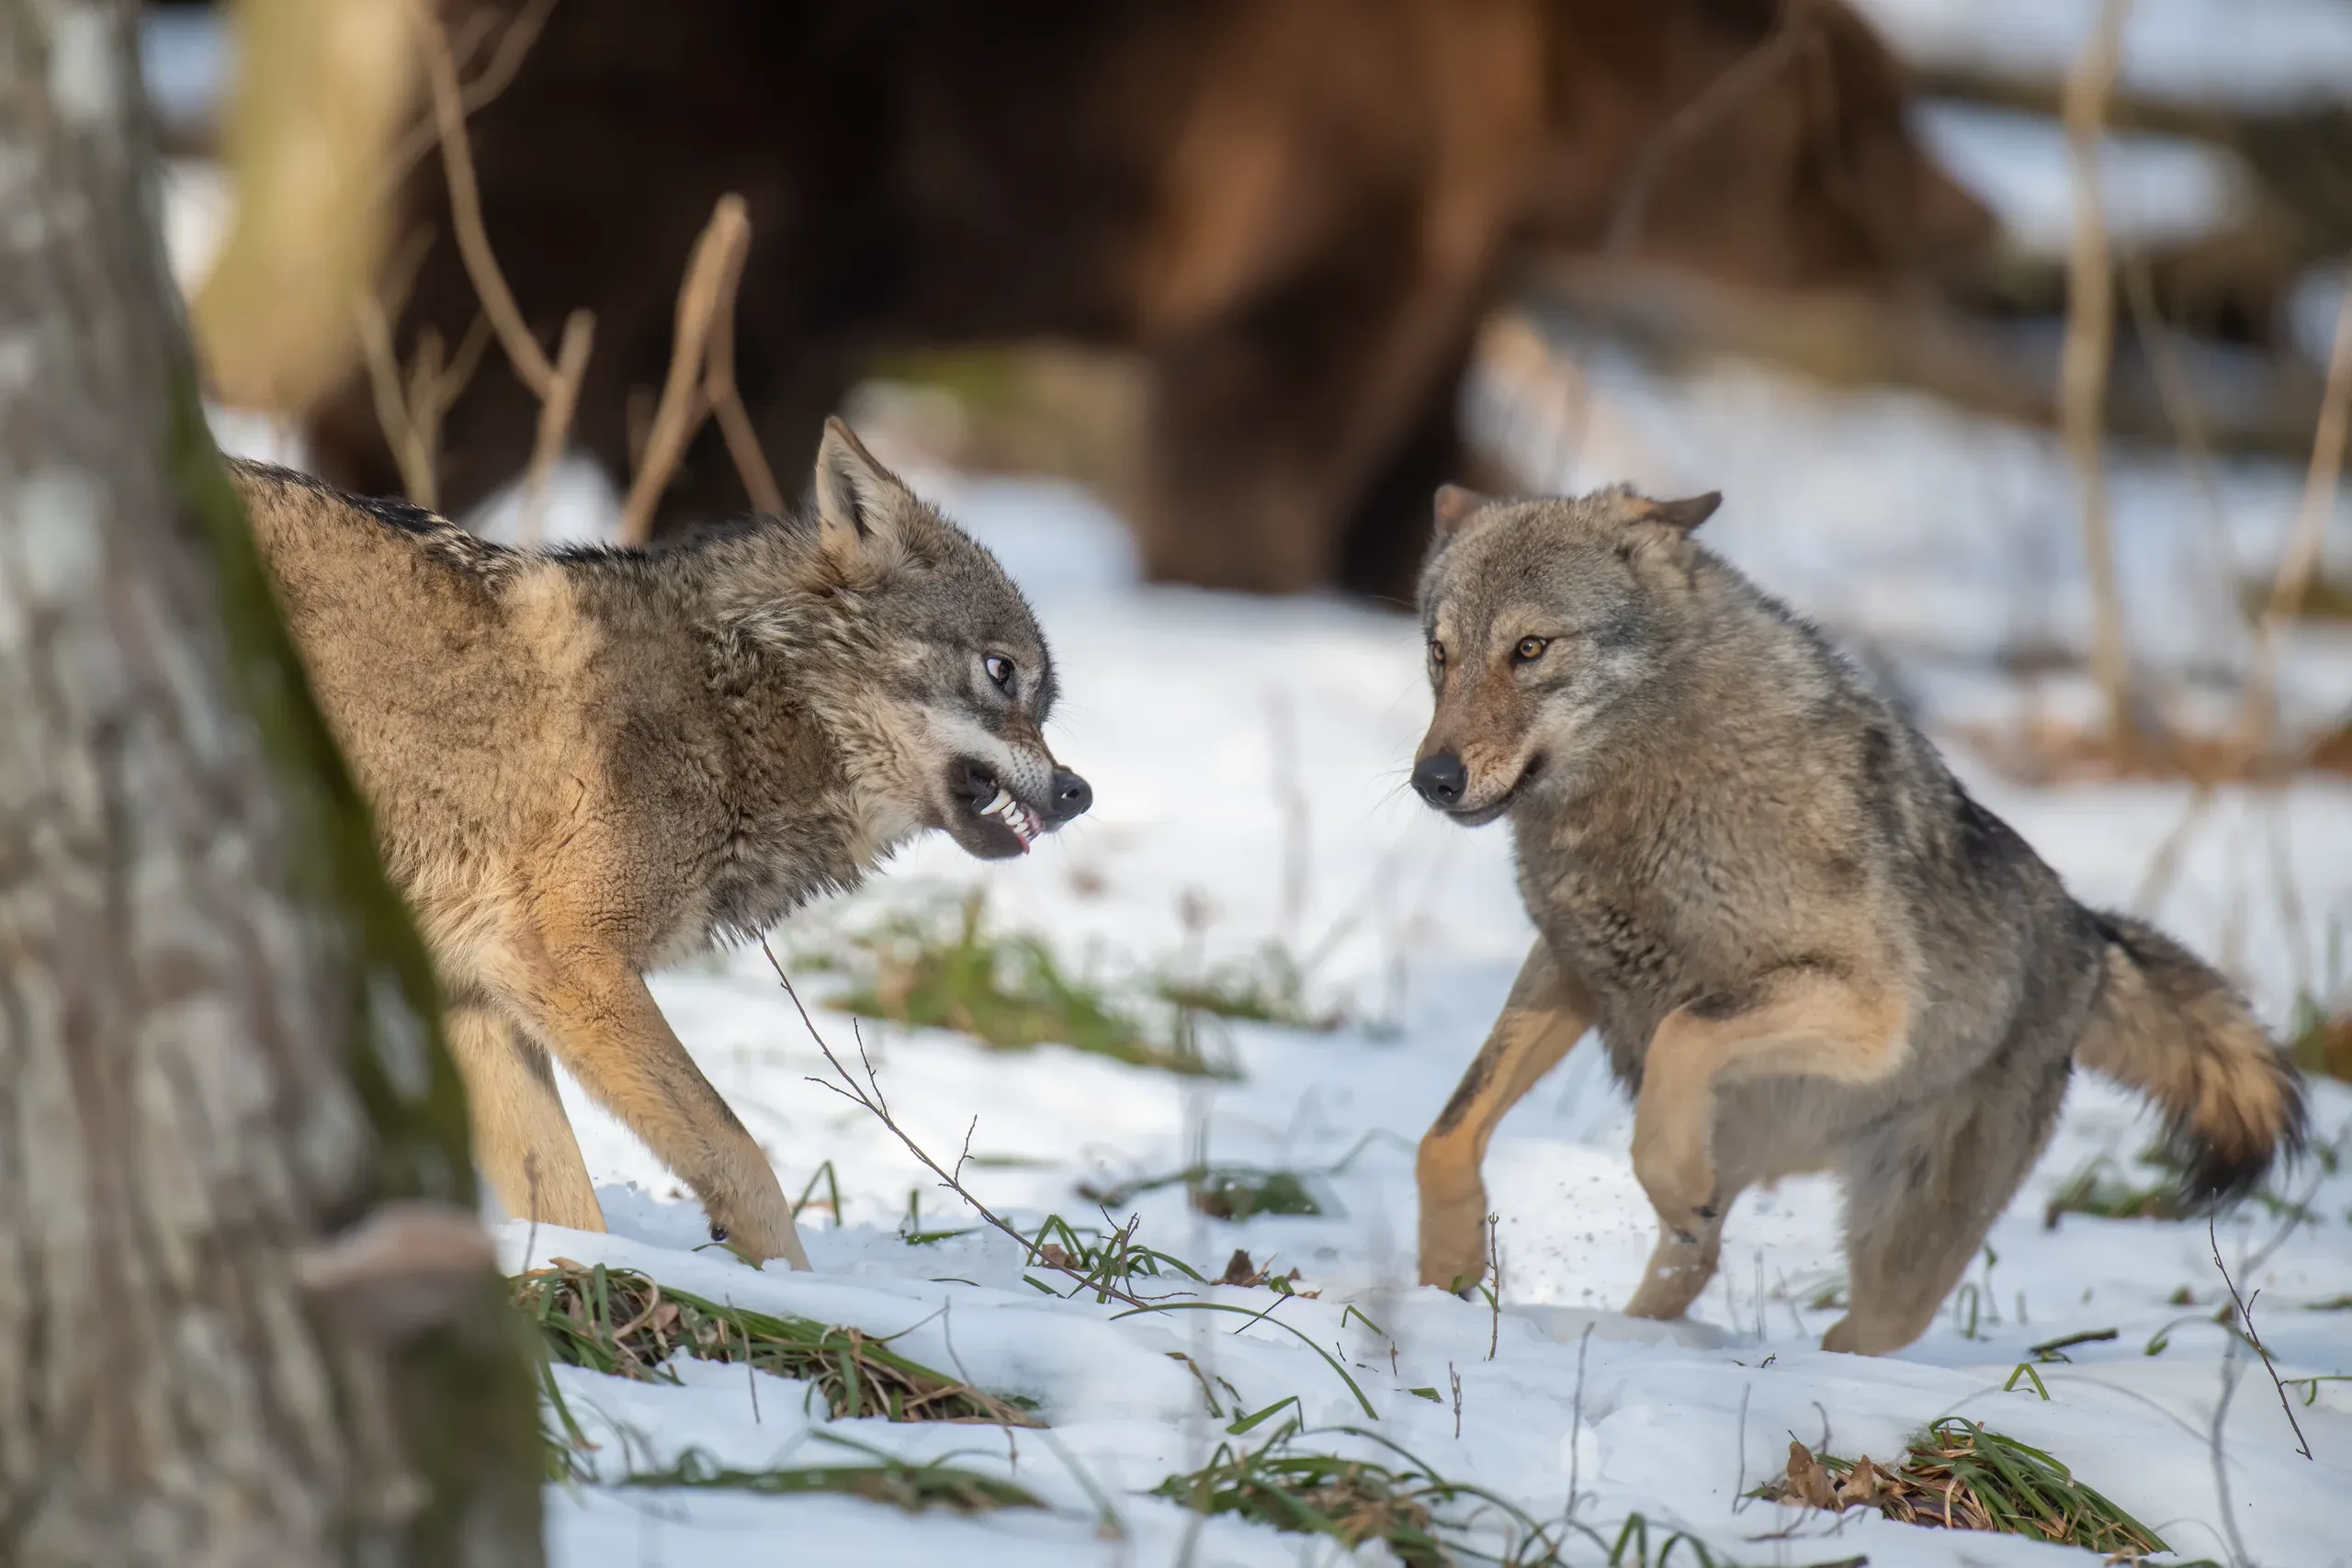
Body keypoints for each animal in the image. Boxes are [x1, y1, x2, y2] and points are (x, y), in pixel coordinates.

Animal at [234, 420, 1089, 1268]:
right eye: (1000, 671)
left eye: (1044, 703)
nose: (1077, 791)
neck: (740, 698)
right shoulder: (568, 959)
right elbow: (744, 1159)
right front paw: (790, 1284)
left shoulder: (475, 993)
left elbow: (568, 1207)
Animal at [1408, 483, 2304, 1354]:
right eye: (1440, 654)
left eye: (1530, 648)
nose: (1432, 779)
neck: (1642, 790)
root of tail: (2089, 932)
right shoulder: (1573, 964)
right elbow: (1446, 1131)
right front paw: (1448, 1268)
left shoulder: (1872, 1008)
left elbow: (1684, 1033)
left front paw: (1665, 1178)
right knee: (1699, 1262)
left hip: (1898, 1270)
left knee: (1840, 1328)